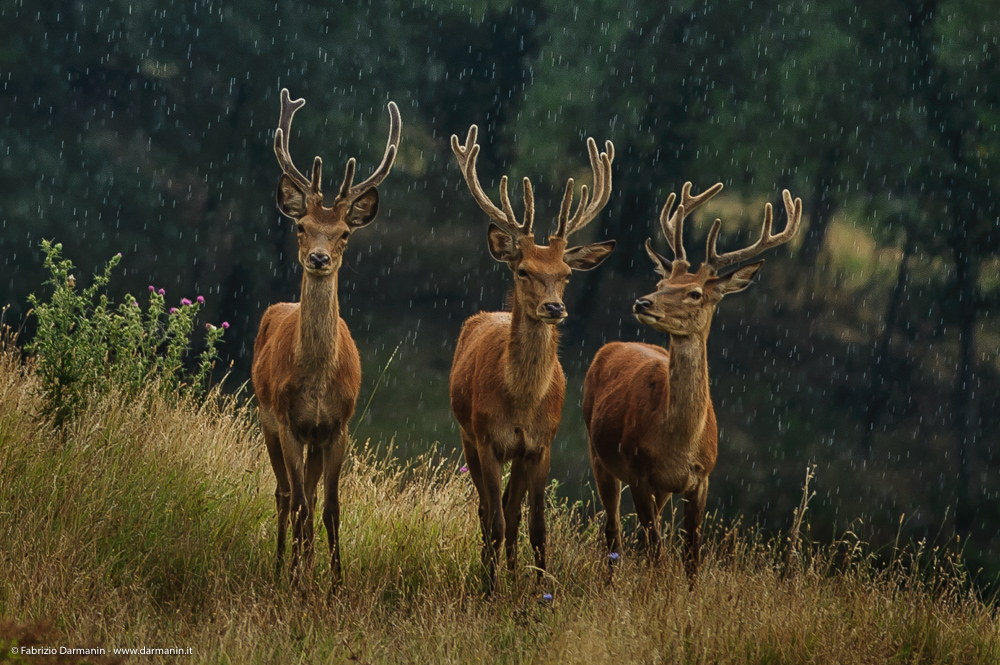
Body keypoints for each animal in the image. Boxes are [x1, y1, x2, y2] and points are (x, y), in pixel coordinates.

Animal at [252, 88, 400, 592]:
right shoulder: (289, 422)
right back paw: (282, 567)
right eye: (301, 227)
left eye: (344, 233)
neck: (317, 381)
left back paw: (305, 565)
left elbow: (331, 508)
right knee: (284, 495)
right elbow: (298, 505)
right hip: (266, 422)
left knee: (310, 498)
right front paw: (298, 582)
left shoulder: (337, 426)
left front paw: (334, 583)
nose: (318, 257)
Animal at [452, 124, 616, 588]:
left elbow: (537, 524)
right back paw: (492, 572)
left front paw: (541, 588)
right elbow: (493, 520)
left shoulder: (542, 444)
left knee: (511, 508)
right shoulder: (487, 437)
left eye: (566, 274)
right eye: (523, 269)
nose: (554, 307)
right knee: (487, 510)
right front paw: (490, 589)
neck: (522, 403)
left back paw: (512, 572)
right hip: (467, 437)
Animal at [584, 184, 800, 580]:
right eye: (661, 282)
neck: (678, 442)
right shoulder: (638, 471)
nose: (642, 302)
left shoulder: (701, 478)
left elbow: (690, 555)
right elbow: (658, 550)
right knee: (613, 529)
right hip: (599, 455)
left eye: (695, 292)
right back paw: (610, 578)